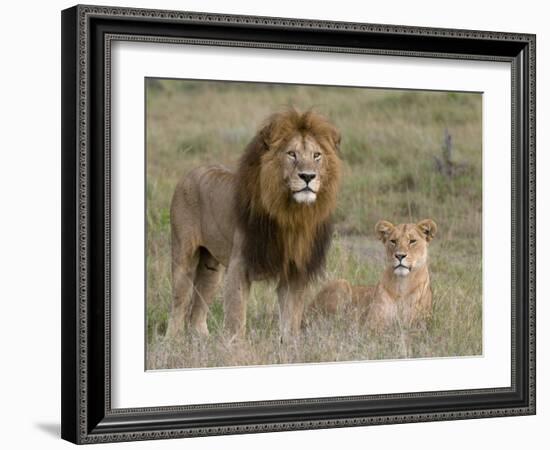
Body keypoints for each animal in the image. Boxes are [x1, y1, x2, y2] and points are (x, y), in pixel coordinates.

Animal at [166, 110, 342, 342]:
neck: (291, 213)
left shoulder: (294, 272)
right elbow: (236, 319)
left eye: (316, 155)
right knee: (179, 303)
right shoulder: (239, 266)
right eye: (292, 154)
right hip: (183, 256)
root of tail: (191, 172)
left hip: (211, 266)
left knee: (198, 309)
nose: (307, 176)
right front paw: (236, 348)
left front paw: (290, 346)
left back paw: (202, 340)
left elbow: (291, 320)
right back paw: (171, 342)